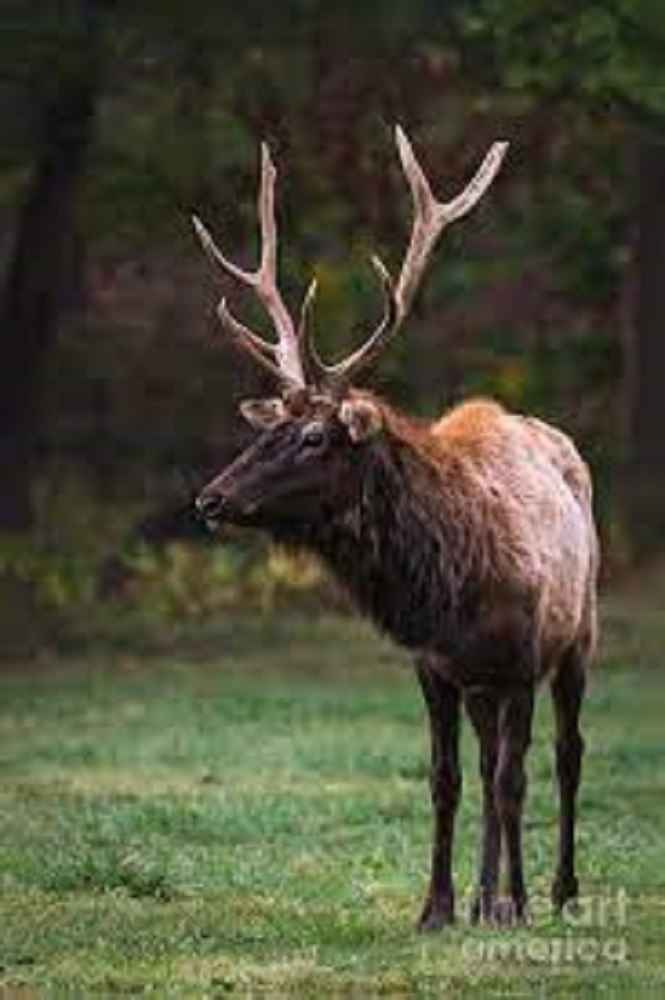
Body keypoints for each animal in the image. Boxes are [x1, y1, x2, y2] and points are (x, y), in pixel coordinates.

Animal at [191, 127, 599, 931]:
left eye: (314, 436)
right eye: (266, 429)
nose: (212, 499)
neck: (453, 586)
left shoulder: (521, 658)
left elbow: (515, 781)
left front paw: (515, 902)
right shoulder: (434, 666)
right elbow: (447, 780)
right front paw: (438, 906)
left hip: (579, 633)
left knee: (566, 755)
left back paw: (558, 892)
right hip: (481, 684)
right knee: (486, 762)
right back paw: (480, 898)